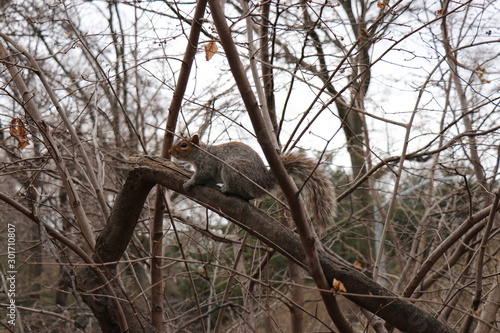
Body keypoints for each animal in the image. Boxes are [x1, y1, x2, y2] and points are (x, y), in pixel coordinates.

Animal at [170, 132, 338, 231]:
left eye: (184, 145)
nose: (170, 152)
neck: (201, 153)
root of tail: (260, 181)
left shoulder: (208, 165)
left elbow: (200, 176)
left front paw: (189, 183)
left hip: (232, 169)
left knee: (243, 192)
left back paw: (226, 189)